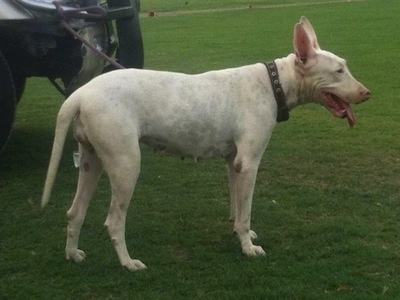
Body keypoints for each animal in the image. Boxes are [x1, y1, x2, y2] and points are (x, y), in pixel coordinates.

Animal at [42, 15, 370, 270]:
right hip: (125, 165)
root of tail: (81, 93)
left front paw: (241, 235)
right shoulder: (249, 163)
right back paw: (127, 262)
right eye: (339, 71)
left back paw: (73, 254)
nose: (367, 93)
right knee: (113, 221)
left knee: (75, 212)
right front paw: (248, 248)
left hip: (92, 160)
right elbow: (245, 212)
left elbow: (237, 207)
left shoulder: (233, 162)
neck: (273, 82)